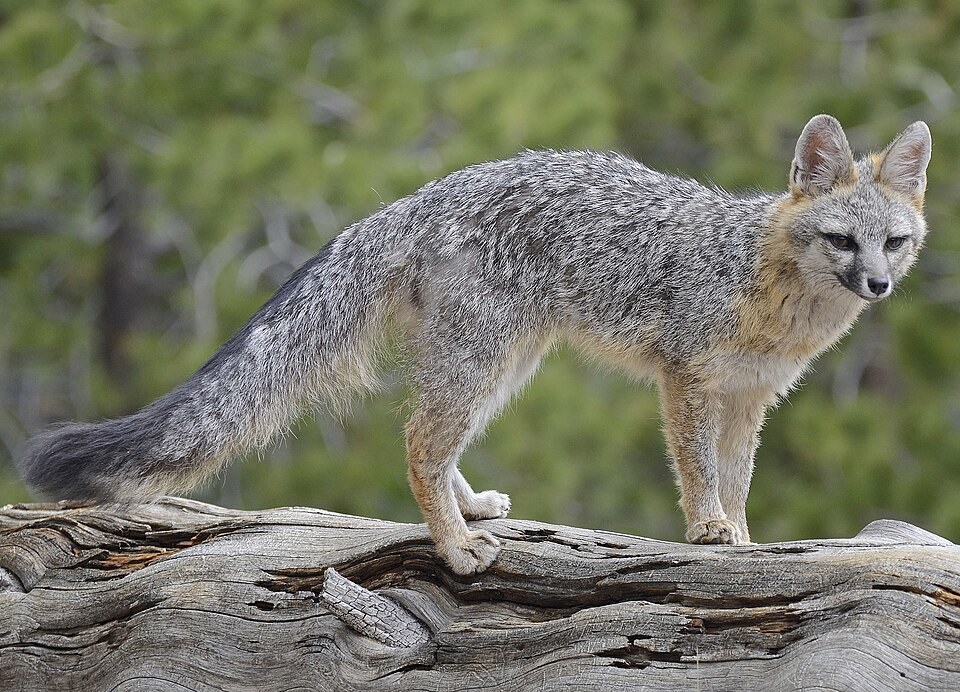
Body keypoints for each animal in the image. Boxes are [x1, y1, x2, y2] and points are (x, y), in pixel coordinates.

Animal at [19, 115, 931, 575]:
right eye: (843, 241)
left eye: (895, 244)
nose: (878, 287)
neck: (765, 284)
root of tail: (418, 196)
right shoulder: (687, 380)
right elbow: (700, 470)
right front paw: (709, 530)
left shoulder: (751, 397)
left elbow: (738, 479)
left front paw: (742, 535)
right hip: (487, 361)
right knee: (419, 443)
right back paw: (455, 547)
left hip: (506, 366)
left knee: (435, 441)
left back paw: (469, 512)